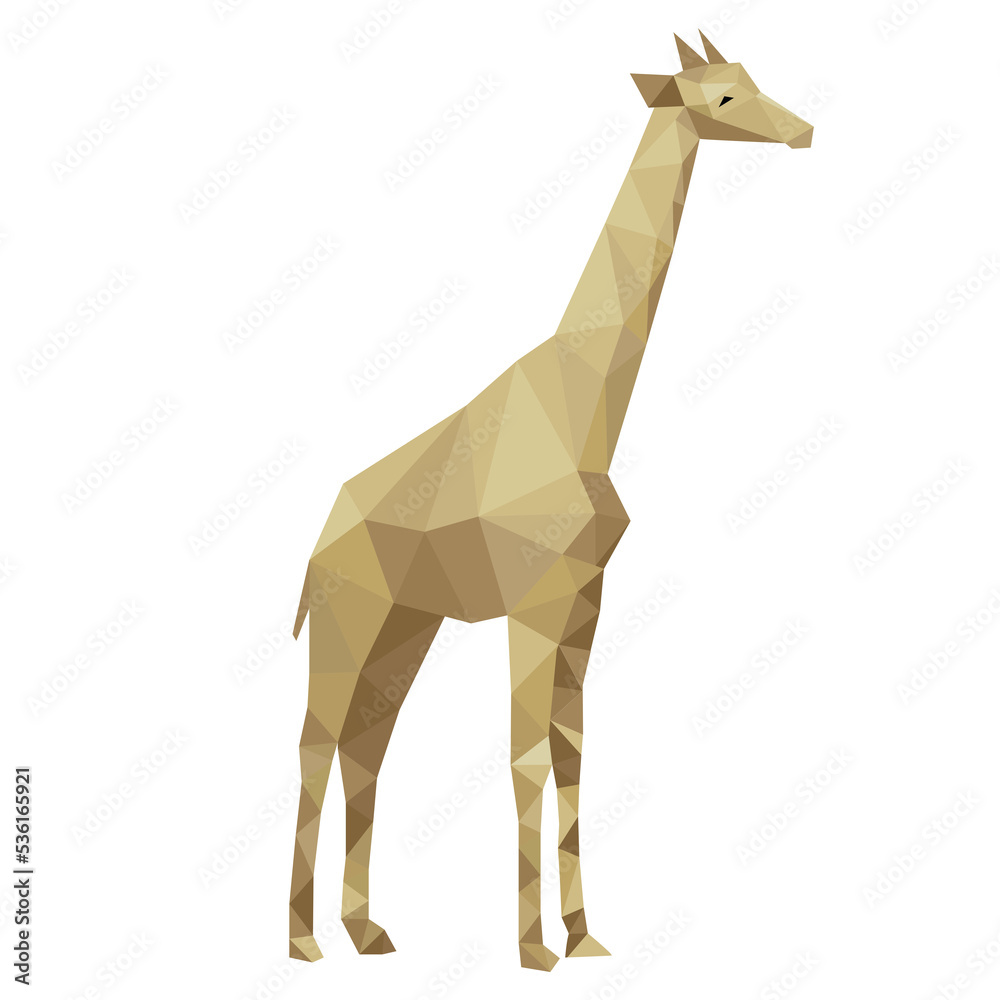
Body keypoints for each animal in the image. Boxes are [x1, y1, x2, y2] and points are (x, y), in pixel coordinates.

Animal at [287, 32, 812, 972]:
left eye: (750, 79)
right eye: (719, 99)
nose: (805, 131)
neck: (582, 412)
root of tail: (317, 549)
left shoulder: (582, 599)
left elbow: (570, 752)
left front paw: (585, 936)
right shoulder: (533, 603)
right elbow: (528, 755)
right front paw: (534, 949)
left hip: (404, 629)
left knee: (367, 751)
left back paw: (368, 933)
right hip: (352, 622)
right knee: (316, 744)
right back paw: (303, 943)